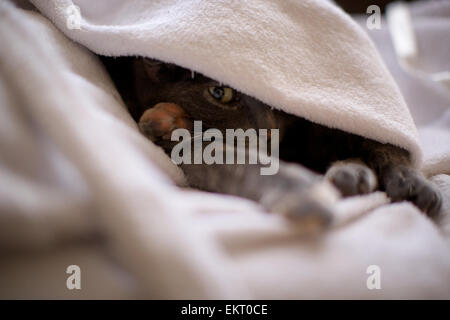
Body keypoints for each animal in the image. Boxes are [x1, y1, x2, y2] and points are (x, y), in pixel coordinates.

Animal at [100, 57, 442, 228]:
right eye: (220, 92)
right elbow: (227, 158)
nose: (267, 130)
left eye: (275, 101)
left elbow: (381, 141)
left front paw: (414, 184)